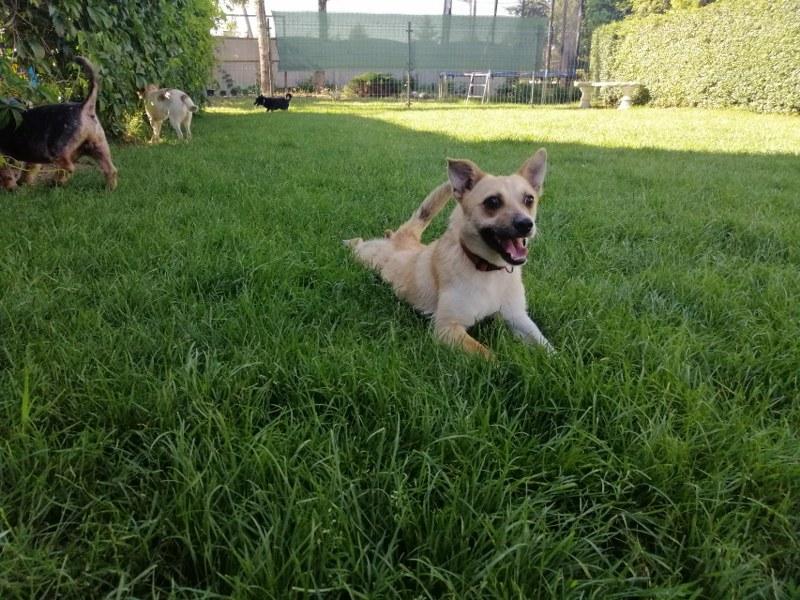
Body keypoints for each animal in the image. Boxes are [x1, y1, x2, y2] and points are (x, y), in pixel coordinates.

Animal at [0, 57, 117, 190]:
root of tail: (85, 108)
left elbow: (7, 173)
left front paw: (12, 187)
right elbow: (28, 169)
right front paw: (22, 183)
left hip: (58, 150)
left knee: (68, 167)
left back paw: (56, 182)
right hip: (98, 147)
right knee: (110, 169)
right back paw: (109, 188)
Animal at [345, 149, 553, 359]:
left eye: (529, 199)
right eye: (493, 202)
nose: (526, 224)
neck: (488, 269)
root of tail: (404, 238)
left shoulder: (518, 318)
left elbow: (546, 345)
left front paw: (554, 359)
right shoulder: (447, 328)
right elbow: (488, 355)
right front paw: (503, 362)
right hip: (365, 256)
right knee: (358, 244)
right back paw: (348, 242)